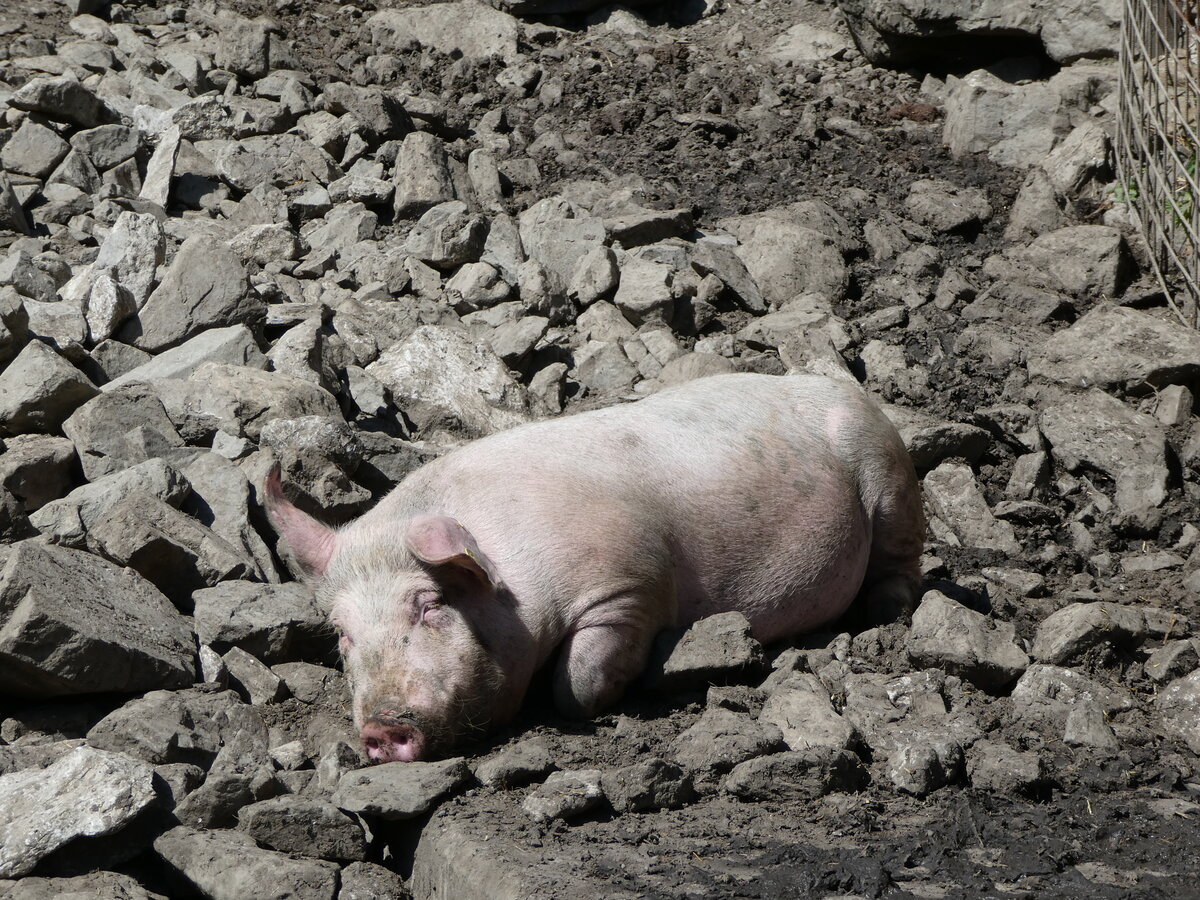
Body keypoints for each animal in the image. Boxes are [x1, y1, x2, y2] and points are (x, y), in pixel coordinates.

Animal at [265, 373, 924, 762]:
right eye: (343, 635)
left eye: (429, 606)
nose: (378, 730)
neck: (515, 582)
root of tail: (841, 386)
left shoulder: (632, 579)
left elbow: (576, 683)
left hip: (888, 474)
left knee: (902, 560)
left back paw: (885, 612)